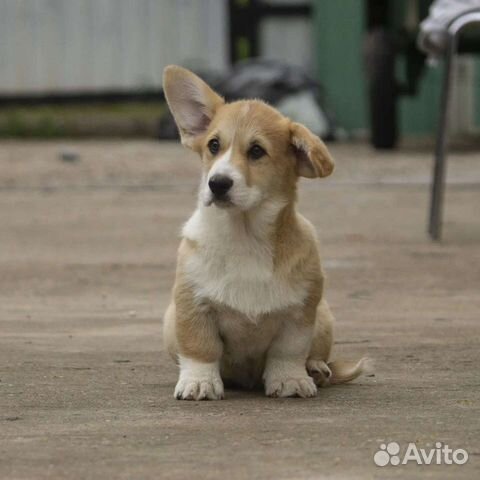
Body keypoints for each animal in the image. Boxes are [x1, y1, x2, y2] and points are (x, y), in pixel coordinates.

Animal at [163, 65, 370, 400]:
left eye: (257, 151)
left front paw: (291, 380)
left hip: (324, 317)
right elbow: (200, 348)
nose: (217, 183)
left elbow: (288, 351)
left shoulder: (300, 313)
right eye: (214, 146)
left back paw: (316, 369)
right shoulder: (193, 305)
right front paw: (199, 382)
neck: (244, 234)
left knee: (315, 354)